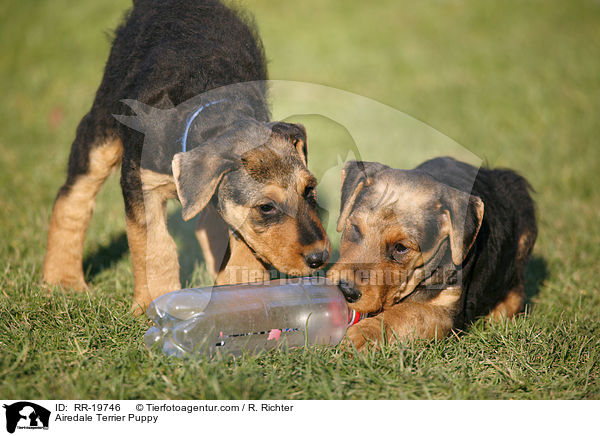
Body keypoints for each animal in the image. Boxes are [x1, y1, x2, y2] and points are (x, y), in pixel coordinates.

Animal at [44, 0, 330, 314]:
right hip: (101, 127)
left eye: (309, 189)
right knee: (74, 196)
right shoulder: (141, 184)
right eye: (266, 207)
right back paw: (63, 279)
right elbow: (156, 248)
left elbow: (242, 247)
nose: (320, 258)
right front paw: (154, 302)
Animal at [330, 156, 536, 348]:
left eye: (401, 247)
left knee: (516, 293)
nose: (346, 290)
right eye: (355, 228)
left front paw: (360, 335)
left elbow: (409, 312)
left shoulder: (447, 310)